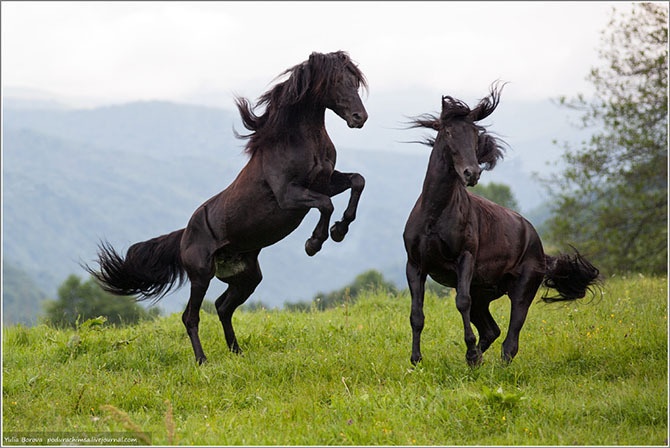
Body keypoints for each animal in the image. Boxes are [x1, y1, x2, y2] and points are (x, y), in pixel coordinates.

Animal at [86, 50, 370, 364]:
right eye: (337, 81)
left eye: (355, 81)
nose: (360, 117)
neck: (296, 141)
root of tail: (184, 234)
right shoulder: (289, 196)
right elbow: (326, 204)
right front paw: (315, 242)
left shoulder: (326, 182)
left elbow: (357, 182)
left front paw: (339, 230)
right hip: (201, 275)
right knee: (191, 316)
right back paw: (202, 360)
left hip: (247, 278)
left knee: (223, 306)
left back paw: (237, 351)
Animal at [402, 84, 600, 368]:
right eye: (448, 132)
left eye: (475, 133)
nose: (471, 173)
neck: (434, 215)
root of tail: (539, 245)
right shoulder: (415, 266)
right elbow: (416, 315)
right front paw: (416, 361)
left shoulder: (464, 259)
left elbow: (461, 302)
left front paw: (471, 354)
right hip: (484, 293)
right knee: (491, 330)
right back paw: (478, 360)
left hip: (522, 289)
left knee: (511, 336)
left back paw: (492, 363)